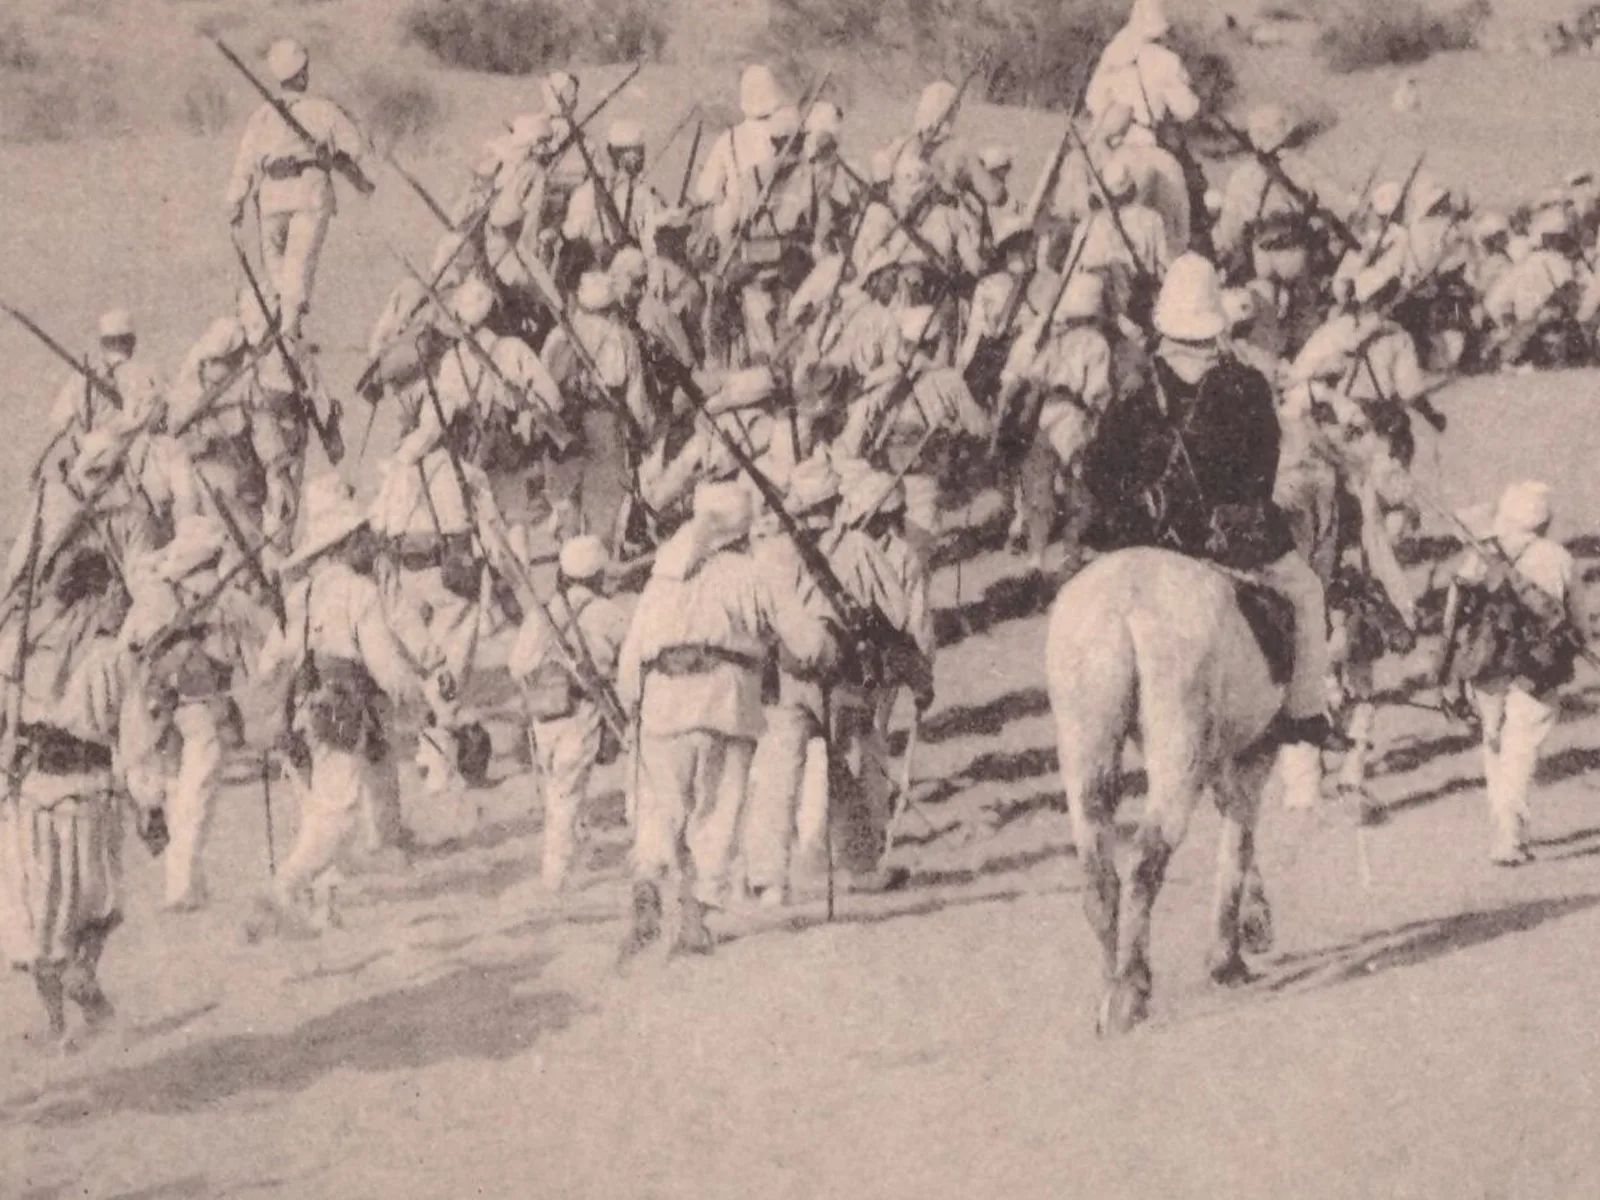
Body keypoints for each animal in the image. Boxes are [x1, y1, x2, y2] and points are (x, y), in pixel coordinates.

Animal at [1043, 550, 1280, 1036]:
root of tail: (1121, 608)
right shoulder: (1252, 754)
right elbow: (1239, 841)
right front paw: (1228, 958)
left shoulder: (1222, 760)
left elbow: (1236, 831)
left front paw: (1251, 928)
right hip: (1178, 750)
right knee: (1146, 859)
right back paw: (1133, 990)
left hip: (1085, 745)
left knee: (1099, 875)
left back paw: (1109, 994)